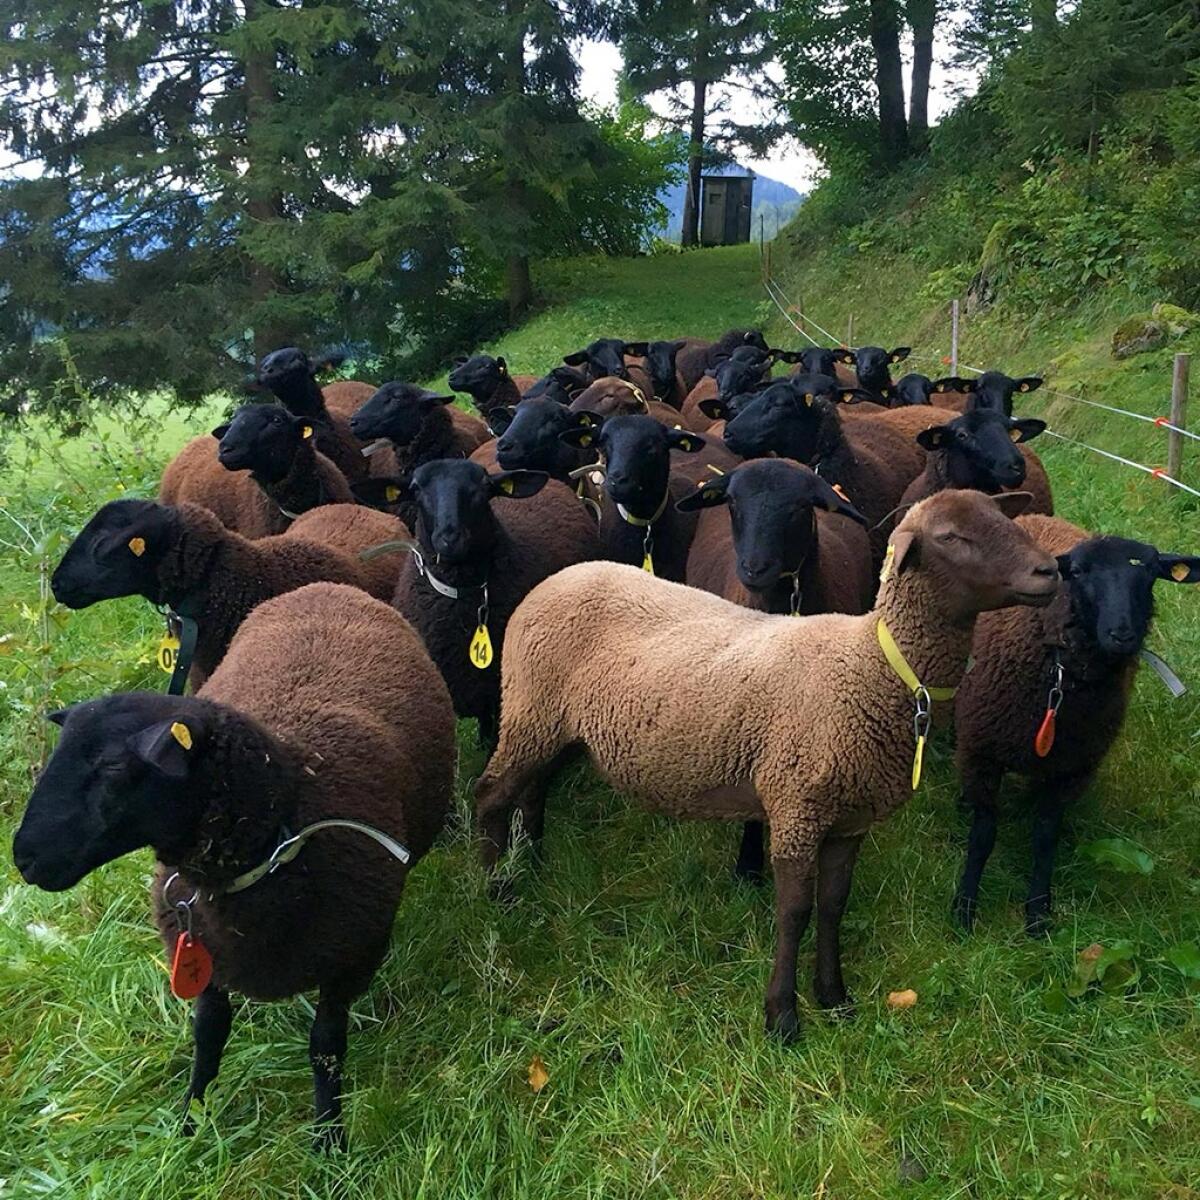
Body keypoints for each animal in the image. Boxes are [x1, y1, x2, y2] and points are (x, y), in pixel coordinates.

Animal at [13, 581, 454, 1147]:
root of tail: (329, 586)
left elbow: (326, 1047)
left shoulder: (350, 958)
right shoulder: (205, 956)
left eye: (113, 767)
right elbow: (209, 1034)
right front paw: (190, 1122)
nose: (23, 857)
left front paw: (330, 1139)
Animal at [953, 516, 1199, 935]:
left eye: (1151, 571)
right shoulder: (980, 750)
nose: (1122, 635)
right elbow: (983, 835)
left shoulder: (1071, 767)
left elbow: (1045, 836)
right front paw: (965, 910)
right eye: (1080, 572)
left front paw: (1038, 912)